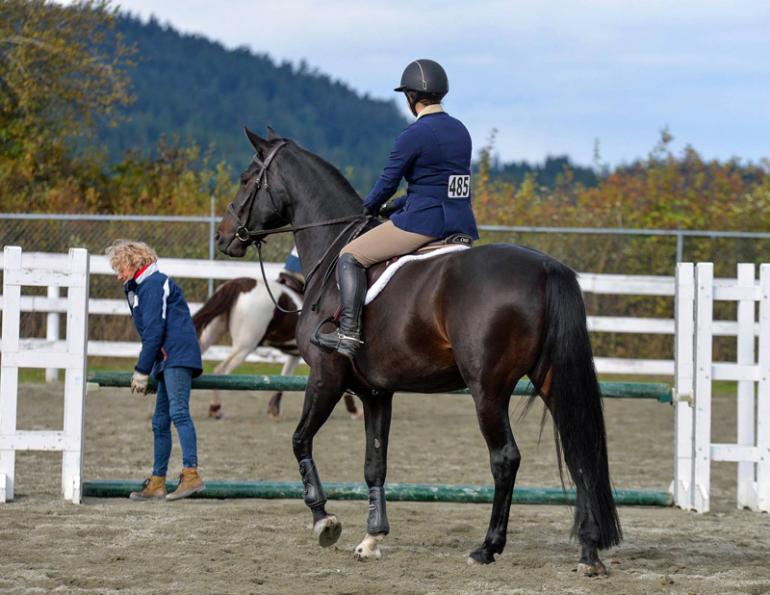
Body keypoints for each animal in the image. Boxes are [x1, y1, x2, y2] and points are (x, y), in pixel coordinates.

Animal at [192, 275, 361, 420]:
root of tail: (239, 283)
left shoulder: (295, 355)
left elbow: (285, 376)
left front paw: (274, 410)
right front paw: (354, 410)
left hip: (214, 332)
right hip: (245, 346)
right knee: (220, 371)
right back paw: (215, 408)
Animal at [214, 128, 621, 574]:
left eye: (246, 178)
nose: (223, 236)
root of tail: (546, 268)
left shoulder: (326, 376)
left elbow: (300, 440)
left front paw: (324, 520)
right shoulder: (376, 392)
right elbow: (374, 463)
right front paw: (371, 538)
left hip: (488, 390)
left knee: (505, 458)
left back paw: (487, 547)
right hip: (549, 380)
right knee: (579, 451)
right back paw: (588, 553)